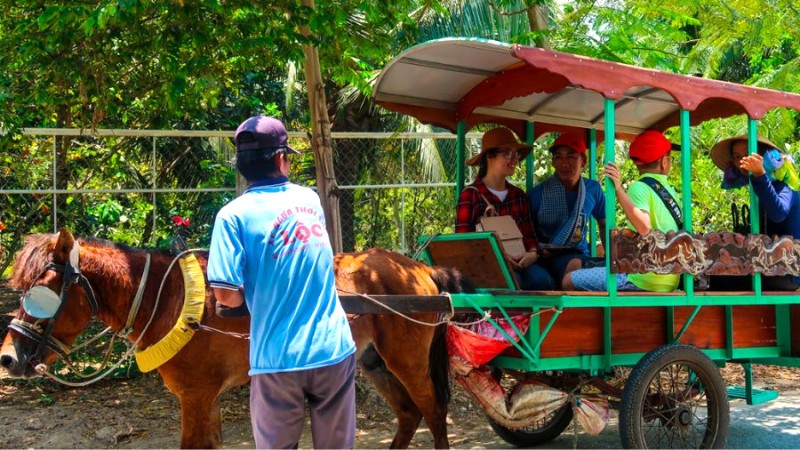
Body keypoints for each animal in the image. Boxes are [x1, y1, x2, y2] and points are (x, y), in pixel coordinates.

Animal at [0, 230, 472, 448]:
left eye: (41, 293)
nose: (8, 357)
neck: (169, 298)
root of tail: (418, 268)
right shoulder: (205, 398)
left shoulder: (195, 395)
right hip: (375, 363)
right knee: (409, 415)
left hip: (407, 361)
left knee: (433, 412)